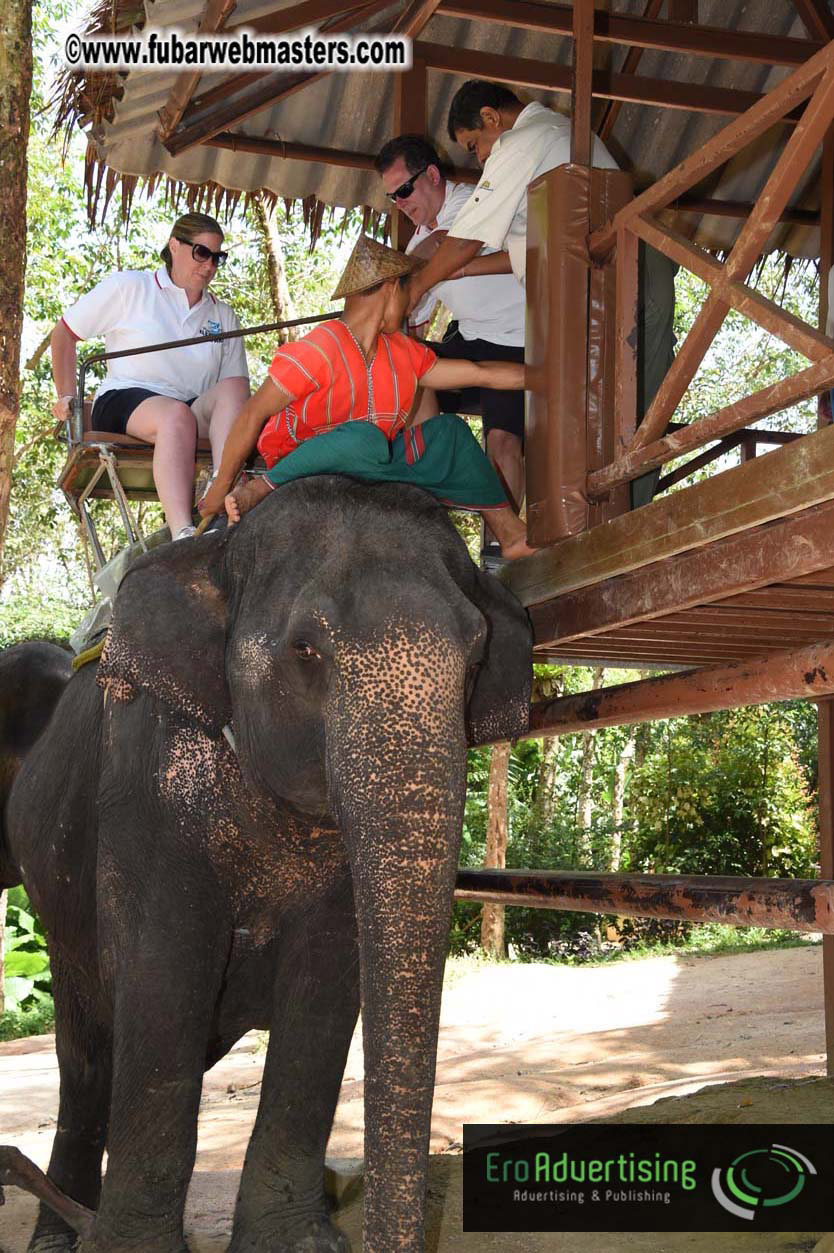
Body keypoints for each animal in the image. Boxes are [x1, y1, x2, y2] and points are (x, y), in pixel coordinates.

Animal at [0, 476, 532, 1253]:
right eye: (306, 649)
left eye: (478, 651)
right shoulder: (143, 783)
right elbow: (165, 974)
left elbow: (327, 980)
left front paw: (298, 1241)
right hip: (57, 909)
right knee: (88, 1057)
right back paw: (59, 1236)